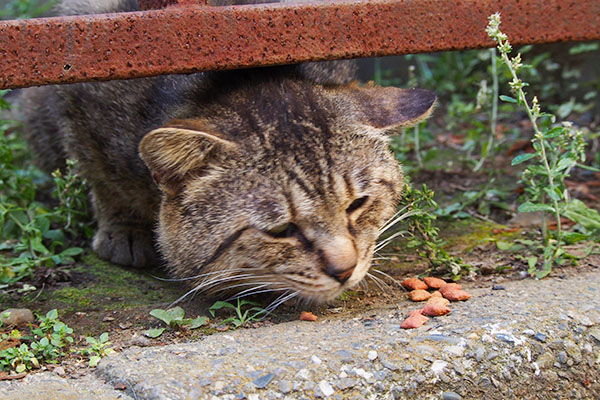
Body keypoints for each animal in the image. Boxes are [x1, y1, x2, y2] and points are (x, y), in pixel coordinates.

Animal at [21, 0, 434, 300]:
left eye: (357, 205)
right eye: (281, 230)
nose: (345, 271)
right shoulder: (78, 87)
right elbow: (102, 176)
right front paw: (123, 226)